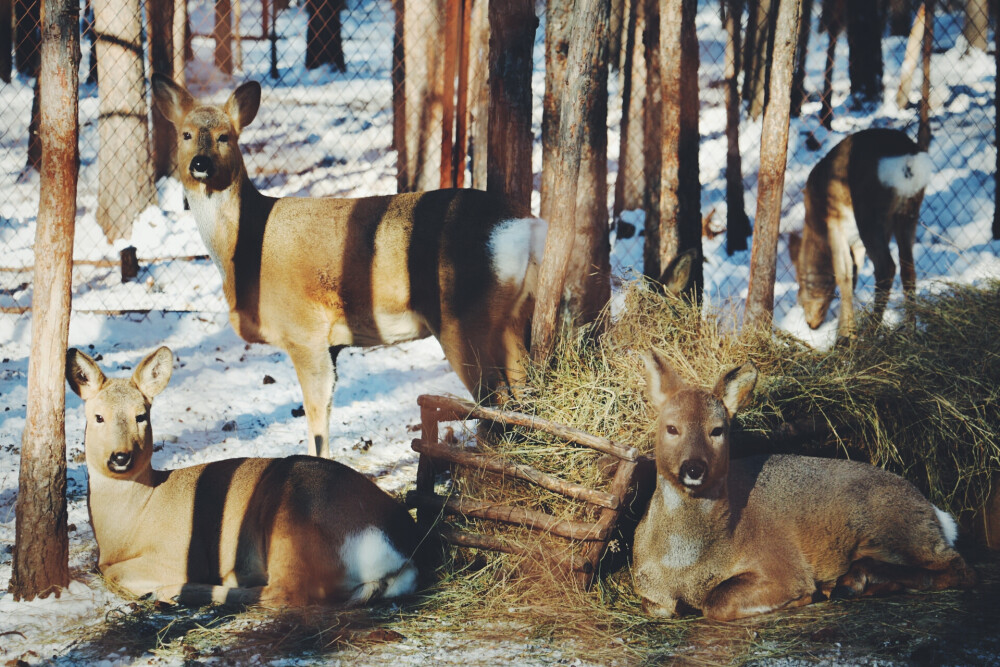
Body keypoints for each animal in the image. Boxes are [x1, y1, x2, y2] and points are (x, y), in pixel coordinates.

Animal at [65, 348, 426, 608]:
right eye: (98, 417)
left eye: (141, 415)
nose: (120, 456)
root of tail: (399, 548)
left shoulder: (181, 555)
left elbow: (113, 572)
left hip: (291, 528)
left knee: (286, 594)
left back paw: (183, 591)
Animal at [148, 74, 548, 460]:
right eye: (185, 134)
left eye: (224, 136)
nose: (200, 164)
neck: (245, 247)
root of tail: (528, 226)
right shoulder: (333, 343)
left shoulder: (304, 332)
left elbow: (316, 414)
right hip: (511, 318)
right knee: (524, 387)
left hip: (464, 318)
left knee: (496, 399)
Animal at [632, 352, 976, 624]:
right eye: (671, 428)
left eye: (717, 430)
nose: (693, 468)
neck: (686, 566)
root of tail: (934, 510)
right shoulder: (649, 590)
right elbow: (661, 607)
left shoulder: (781, 565)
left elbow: (716, 601)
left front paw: (803, 598)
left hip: (893, 526)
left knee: (957, 567)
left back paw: (849, 583)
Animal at [792, 129, 932, 340]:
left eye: (800, 284)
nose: (811, 324)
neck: (815, 225)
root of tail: (908, 160)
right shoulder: (856, 243)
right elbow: (854, 276)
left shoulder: (834, 225)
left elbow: (844, 276)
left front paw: (847, 335)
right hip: (909, 213)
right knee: (908, 267)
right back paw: (910, 331)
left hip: (869, 214)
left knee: (886, 267)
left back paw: (872, 330)